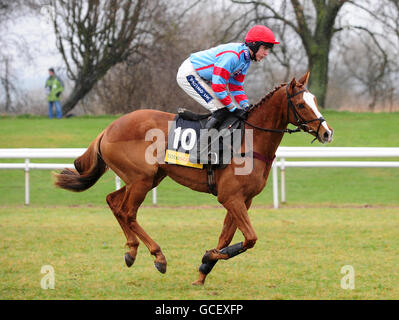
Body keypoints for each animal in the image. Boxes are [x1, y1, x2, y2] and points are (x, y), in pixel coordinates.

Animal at [54, 72, 334, 284]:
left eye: (315, 100)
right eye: (301, 104)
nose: (327, 132)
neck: (250, 140)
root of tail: (107, 129)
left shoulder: (243, 199)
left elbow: (227, 238)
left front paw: (203, 269)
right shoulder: (230, 197)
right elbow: (250, 238)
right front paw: (206, 259)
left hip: (147, 178)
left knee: (113, 201)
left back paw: (131, 251)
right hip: (141, 179)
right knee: (128, 212)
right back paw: (158, 256)